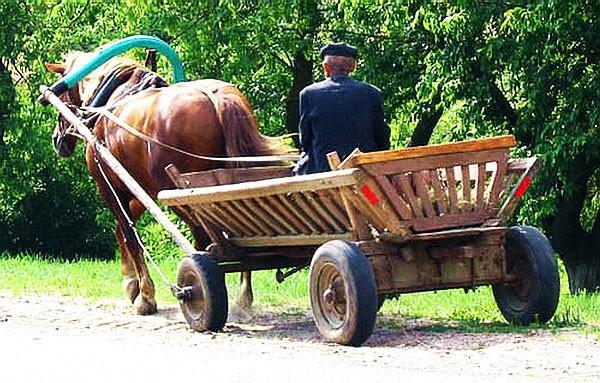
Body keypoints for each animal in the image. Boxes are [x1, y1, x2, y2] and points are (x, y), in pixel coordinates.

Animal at [45, 51, 294, 316]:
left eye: (62, 91)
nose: (57, 139)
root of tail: (216, 98)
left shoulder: (110, 186)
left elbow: (130, 234)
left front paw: (145, 296)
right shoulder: (140, 190)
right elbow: (121, 230)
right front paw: (131, 284)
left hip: (179, 192)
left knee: (202, 236)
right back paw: (243, 297)